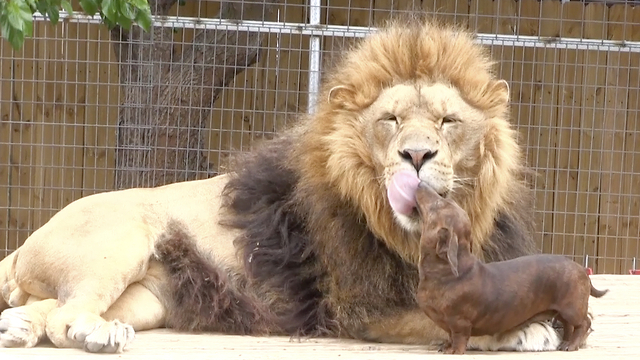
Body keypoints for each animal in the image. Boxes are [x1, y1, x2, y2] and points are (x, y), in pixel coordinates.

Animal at [0, 16, 564, 352]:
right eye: (391, 120)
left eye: (448, 122)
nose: (417, 155)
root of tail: (32, 237)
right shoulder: (360, 309)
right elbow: (451, 318)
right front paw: (525, 327)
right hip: (118, 244)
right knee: (66, 317)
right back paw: (90, 333)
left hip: (149, 298)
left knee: (47, 307)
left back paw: (21, 328)